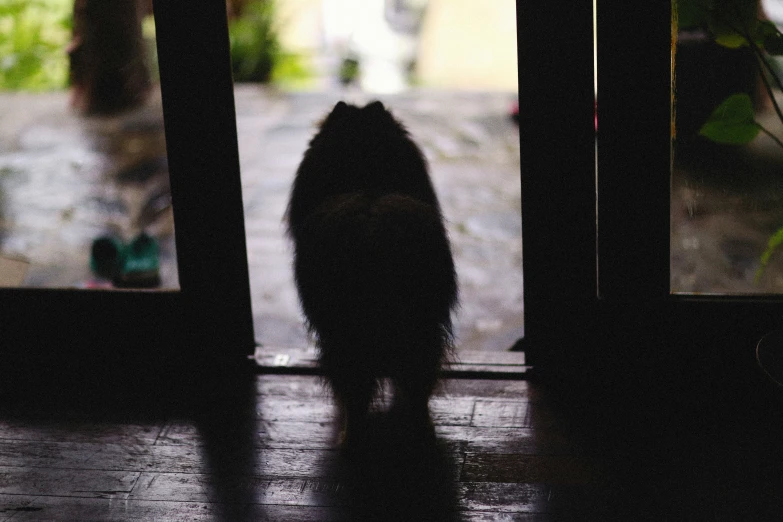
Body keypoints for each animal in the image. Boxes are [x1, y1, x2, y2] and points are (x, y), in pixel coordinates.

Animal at [286, 101, 460, 446]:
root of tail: (373, 233)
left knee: (358, 391)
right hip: (420, 330)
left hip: (345, 337)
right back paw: (422, 429)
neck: (366, 177)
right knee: (416, 385)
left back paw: (349, 436)